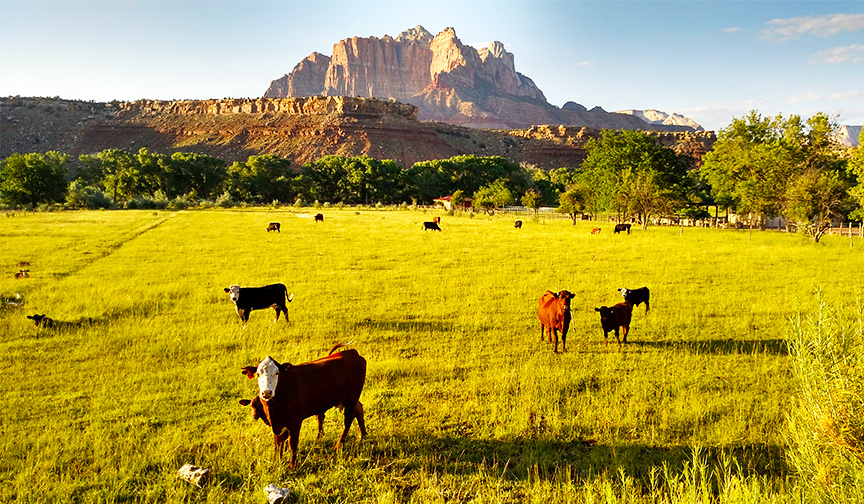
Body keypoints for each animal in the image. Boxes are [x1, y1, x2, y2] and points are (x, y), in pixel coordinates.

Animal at [240, 344, 368, 466]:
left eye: (277, 373)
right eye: (258, 374)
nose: (266, 392)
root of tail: (352, 353)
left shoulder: (295, 421)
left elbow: (292, 444)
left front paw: (293, 465)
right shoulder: (277, 424)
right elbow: (278, 445)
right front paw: (278, 462)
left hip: (352, 397)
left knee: (348, 420)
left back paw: (339, 445)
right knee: (359, 408)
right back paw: (363, 435)